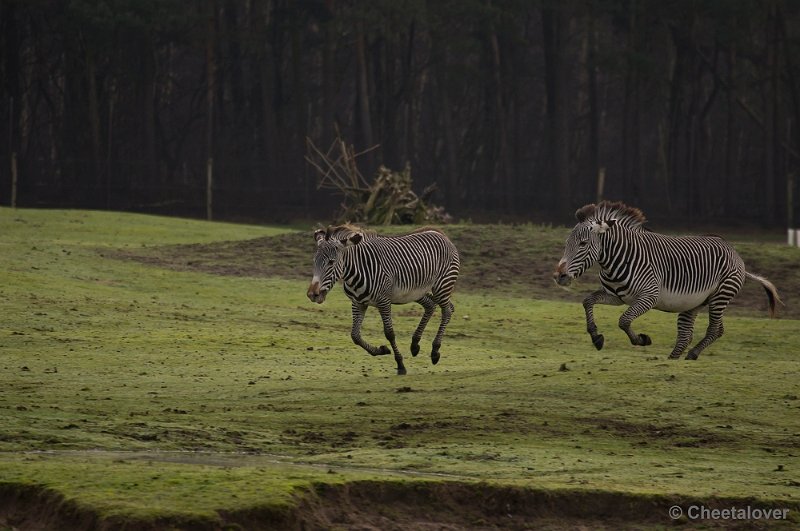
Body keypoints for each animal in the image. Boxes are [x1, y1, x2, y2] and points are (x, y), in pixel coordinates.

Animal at [306, 223, 460, 374]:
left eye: (331, 262)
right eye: (314, 262)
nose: (312, 294)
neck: (356, 272)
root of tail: (439, 233)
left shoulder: (384, 301)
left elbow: (389, 333)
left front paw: (400, 364)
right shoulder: (358, 303)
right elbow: (355, 336)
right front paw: (381, 350)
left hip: (442, 286)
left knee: (447, 310)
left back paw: (435, 351)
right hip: (416, 292)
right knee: (432, 305)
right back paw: (415, 345)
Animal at [552, 202, 784, 360]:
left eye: (582, 244)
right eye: (567, 243)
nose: (558, 276)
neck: (617, 259)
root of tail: (734, 252)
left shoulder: (649, 296)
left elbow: (624, 320)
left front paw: (641, 340)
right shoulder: (616, 296)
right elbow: (588, 301)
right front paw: (596, 337)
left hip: (720, 296)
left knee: (714, 330)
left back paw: (692, 355)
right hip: (694, 303)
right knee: (686, 334)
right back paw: (674, 358)